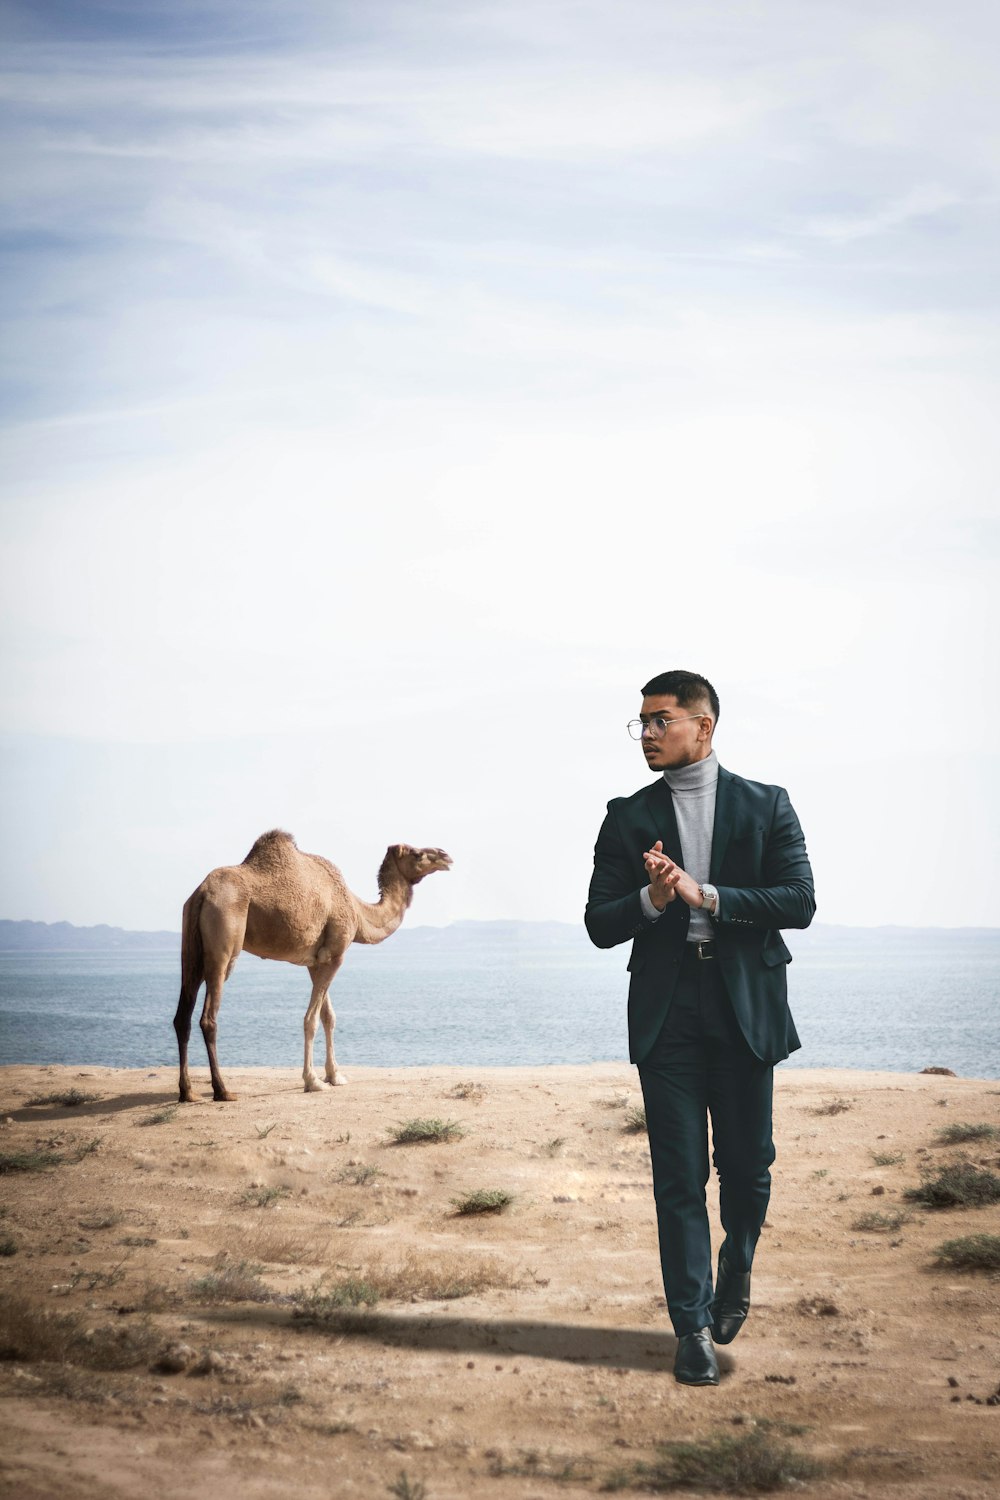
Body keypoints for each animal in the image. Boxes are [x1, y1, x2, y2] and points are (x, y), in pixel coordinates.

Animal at [173, 834, 452, 1104]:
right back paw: (222, 1091)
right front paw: (313, 1081)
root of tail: (202, 893)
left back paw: (187, 1092)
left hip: (191, 947)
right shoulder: (336, 955)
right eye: (417, 853)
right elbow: (312, 1020)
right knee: (209, 1017)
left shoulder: (317, 961)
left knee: (182, 1016)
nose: (445, 855)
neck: (357, 911)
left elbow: (329, 1017)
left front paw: (335, 1075)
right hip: (224, 942)